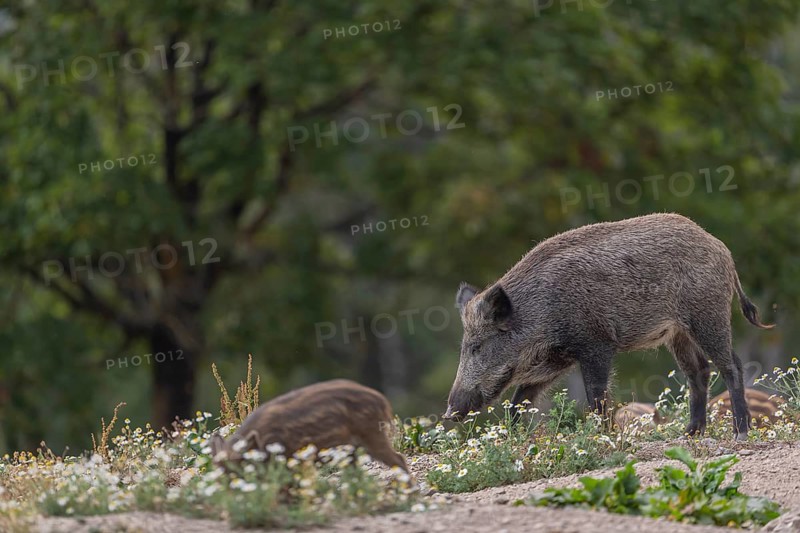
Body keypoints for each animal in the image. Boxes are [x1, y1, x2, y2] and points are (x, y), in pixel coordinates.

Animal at [444, 213, 773, 440]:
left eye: (478, 346)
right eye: (465, 346)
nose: (449, 413)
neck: (540, 312)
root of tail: (722, 250)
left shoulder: (595, 345)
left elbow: (596, 397)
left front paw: (602, 437)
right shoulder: (555, 360)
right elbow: (520, 401)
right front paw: (511, 440)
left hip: (707, 315)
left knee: (731, 365)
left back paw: (740, 432)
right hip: (678, 333)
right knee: (698, 371)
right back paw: (689, 433)